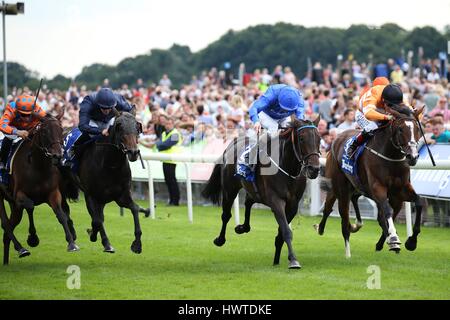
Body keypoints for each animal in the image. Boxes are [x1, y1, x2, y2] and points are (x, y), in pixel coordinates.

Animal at [0, 114, 78, 264]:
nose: (58, 155)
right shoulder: (19, 195)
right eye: (45, 132)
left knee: (9, 227)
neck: (38, 166)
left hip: (14, 206)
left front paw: (71, 243)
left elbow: (60, 214)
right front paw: (33, 238)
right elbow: (30, 206)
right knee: (6, 224)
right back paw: (21, 249)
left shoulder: (53, 193)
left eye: (61, 130)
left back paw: (7, 261)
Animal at [60, 110, 149, 255]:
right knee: (64, 209)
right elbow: (97, 220)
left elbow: (135, 208)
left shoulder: (121, 195)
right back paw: (73, 235)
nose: (133, 152)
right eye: (119, 127)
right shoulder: (90, 195)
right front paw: (97, 237)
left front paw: (137, 244)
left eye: (137, 127)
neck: (110, 165)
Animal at [202, 116, 322, 268]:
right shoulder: (276, 201)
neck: (287, 169)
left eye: (319, 138)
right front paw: (293, 260)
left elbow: (281, 233)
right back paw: (220, 239)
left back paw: (242, 227)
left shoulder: (293, 205)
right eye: (301, 138)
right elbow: (286, 231)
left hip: (254, 190)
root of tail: (233, 143)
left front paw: (277, 260)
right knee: (226, 215)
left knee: (248, 202)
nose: (314, 169)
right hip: (230, 189)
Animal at [316, 105, 426, 258]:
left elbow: (419, 201)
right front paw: (393, 238)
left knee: (358, 203)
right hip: (340, 187)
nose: (413, 156)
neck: (391, 157)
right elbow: (386, 210)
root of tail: (336, 138)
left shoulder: (400, 190)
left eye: (417, 129)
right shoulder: (378, 188)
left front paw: (411, 241)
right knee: (333, 210)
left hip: (360, 188)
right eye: (400, 129)